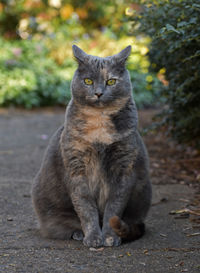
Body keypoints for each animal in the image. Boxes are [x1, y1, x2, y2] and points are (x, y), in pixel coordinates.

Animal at [32, 45, 152, 246]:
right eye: (88, 80)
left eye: (111, 81)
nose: (98, 92)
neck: (99, 125)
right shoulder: (76, 166)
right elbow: (85, 206)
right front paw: (93, 238)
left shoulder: (123, 166)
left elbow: (115, 206)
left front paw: (110, 237)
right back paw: (78, 234)